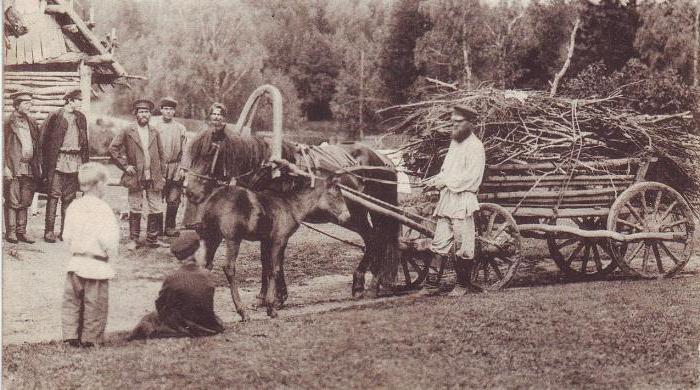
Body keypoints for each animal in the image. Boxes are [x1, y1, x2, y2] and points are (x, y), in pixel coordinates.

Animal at [183, 134, 402, 302]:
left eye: (209, 153)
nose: (189, 191)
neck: (270, 171)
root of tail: (385, 161)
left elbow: (275, 258)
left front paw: (278, 295)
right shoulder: (267, 223)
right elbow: (266, 257)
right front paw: (265, 294)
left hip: (359, 214)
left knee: (376, 239)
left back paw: (365, 284)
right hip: (360, 215)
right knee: (377, 239)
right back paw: (376, 281)